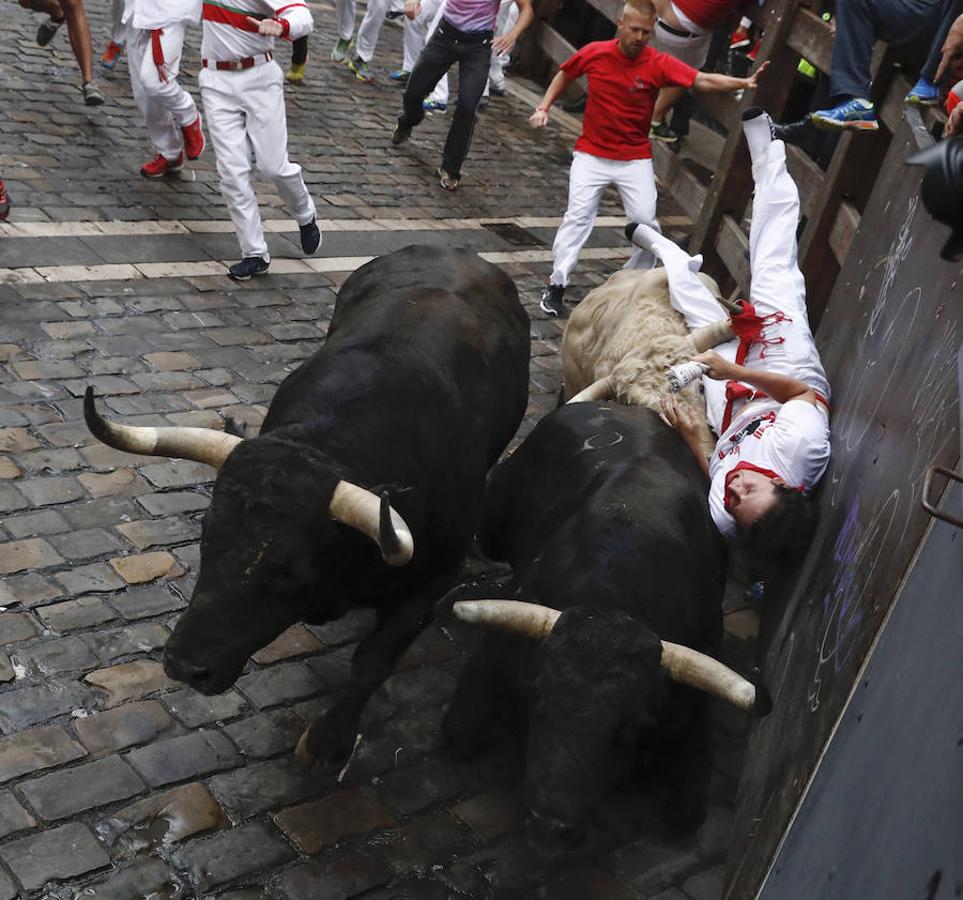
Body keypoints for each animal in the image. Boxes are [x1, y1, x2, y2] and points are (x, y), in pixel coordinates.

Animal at [84, 244, 532, 768]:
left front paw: (327, 742)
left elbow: (372, 662)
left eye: (289, 570)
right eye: (206, 535)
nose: (183, 665)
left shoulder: (434, 578)